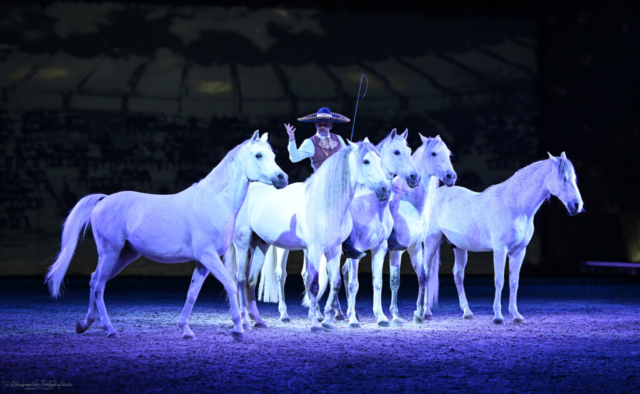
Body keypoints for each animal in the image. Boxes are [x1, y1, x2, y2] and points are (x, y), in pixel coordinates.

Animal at [48, 131, 288, 340]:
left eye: (273, 156)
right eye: (258, 155)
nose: (282, 177)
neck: (213, 203)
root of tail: (103, 200)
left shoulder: (202, 262)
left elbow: (192, 294)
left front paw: (185, 330)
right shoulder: (209, 256)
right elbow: (230, 284)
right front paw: (238, 329)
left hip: (125, 255)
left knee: (93, 279)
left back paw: (84, 324)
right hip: (110, 253)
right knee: (99, 286)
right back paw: (110, 329)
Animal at [178, 140, 392, 334]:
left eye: (381, 161)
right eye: (365, 161)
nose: (384, 189)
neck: (325, 203)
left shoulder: (335, 249)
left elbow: (336, 283)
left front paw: (329, 322)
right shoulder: (314, 250)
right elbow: (314, 285)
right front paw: (315, 323)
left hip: (260, 245)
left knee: (250, 280)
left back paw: (258, 320)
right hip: (243, 243)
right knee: (239, 279)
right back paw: (245, 321)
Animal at [384, 134, 460, 324]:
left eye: (449, 154)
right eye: (434, 153)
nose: (451, 176)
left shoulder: (416, 248)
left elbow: (423, 277)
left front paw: (418, 314)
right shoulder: (396, 250)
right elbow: (395, 281)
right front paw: (395, 316)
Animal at [424, 151, 584, 324]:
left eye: (574, 178)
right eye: (564, 178)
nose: (577, 205)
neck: (515, 206)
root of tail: (434, 196)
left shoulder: (519, 252)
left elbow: (514, 282)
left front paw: (516, 315)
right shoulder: (500, 250)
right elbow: (499, 280)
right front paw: (498, 317)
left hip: (459, 247)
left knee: (458, 275)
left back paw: (467, 312)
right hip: (432, 243)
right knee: (427, 273)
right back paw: (425, 312)